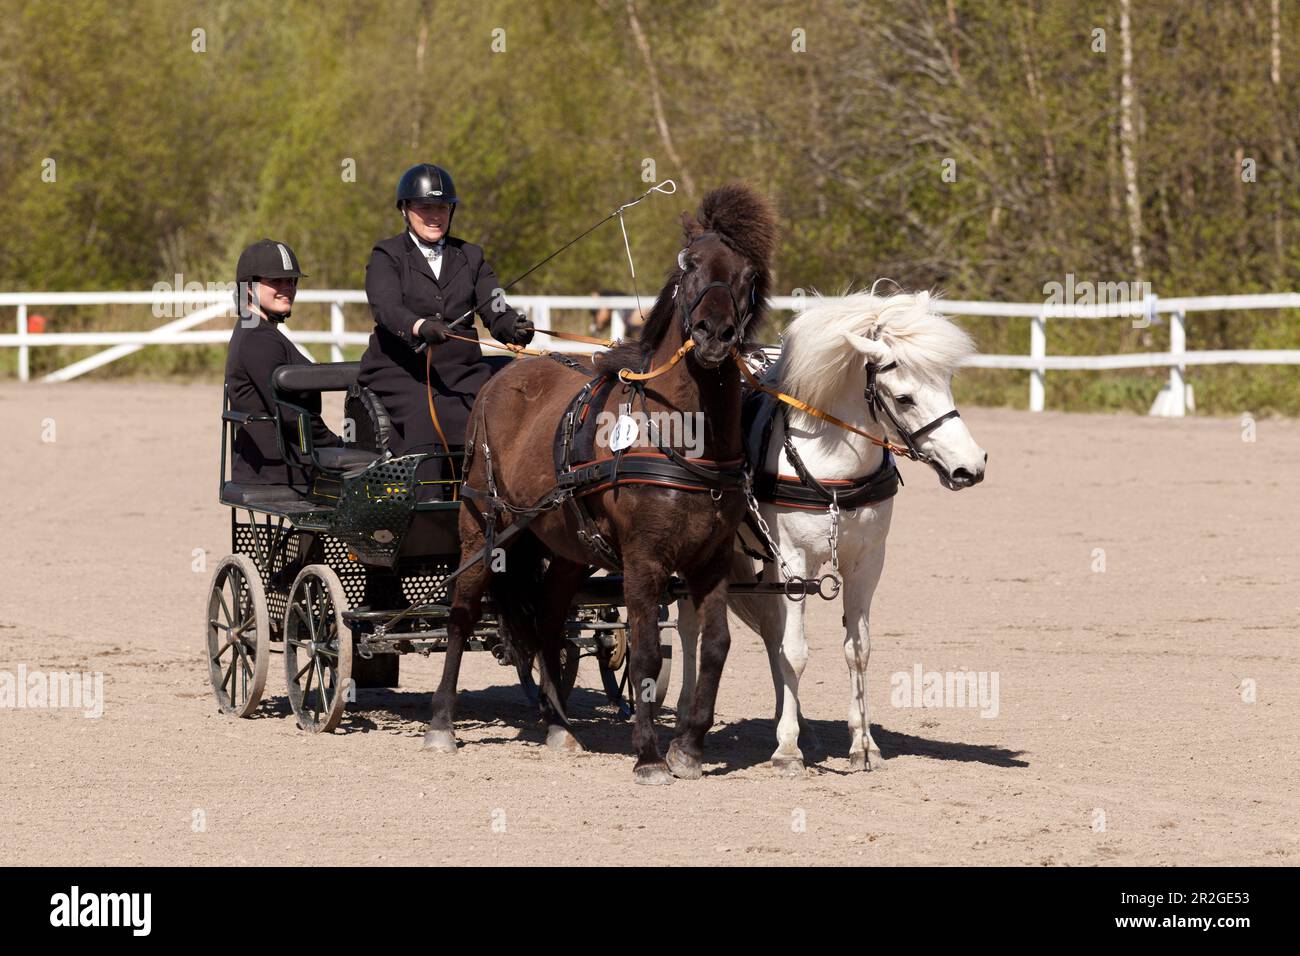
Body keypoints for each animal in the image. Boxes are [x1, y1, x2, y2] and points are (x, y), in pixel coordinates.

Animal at [421, 180, 774, 785]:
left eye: (748, 274)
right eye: (688, 264)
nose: (714, 335)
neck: (680, 433)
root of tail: (503, 376)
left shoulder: (711, 558)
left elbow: (716, 646)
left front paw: (689, 748)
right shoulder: (644, 558)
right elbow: (648, 652)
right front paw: (650, 755)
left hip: (566, 549)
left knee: (548, 622)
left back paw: (558, 726)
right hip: (481, 528)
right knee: (463, 615)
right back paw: (442, 723)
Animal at [670, 290, 982, 780]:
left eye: (947, 382)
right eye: (904, 397)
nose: (971, 466)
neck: (833, 463)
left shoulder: (866, 563)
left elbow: (857, 650)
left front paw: (863, 745)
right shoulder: (795, 561)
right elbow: (797, 651)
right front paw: (787, 752)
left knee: (771, 631)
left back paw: (797, 722)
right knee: (689, 627)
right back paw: (688, 718)